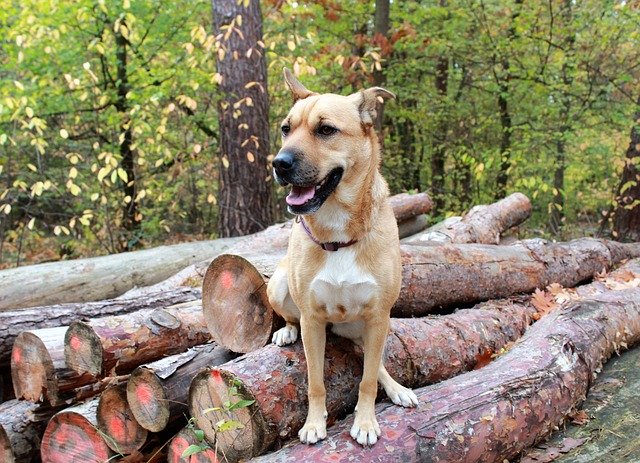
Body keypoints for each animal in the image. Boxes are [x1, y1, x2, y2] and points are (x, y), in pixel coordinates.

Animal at [266, 70, 420, 448]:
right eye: (285, 128)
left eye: (326, 130)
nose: (279, 163)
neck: (337, 233)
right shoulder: (311, 320)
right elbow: (315, 381)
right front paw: (313, 423)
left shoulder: (378, 317)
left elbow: (367, 379)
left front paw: (365, 422)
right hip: (279, 286)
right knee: (288, 316)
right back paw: (285, 332)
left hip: (367, 328)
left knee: (376, 366)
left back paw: (397, 388)